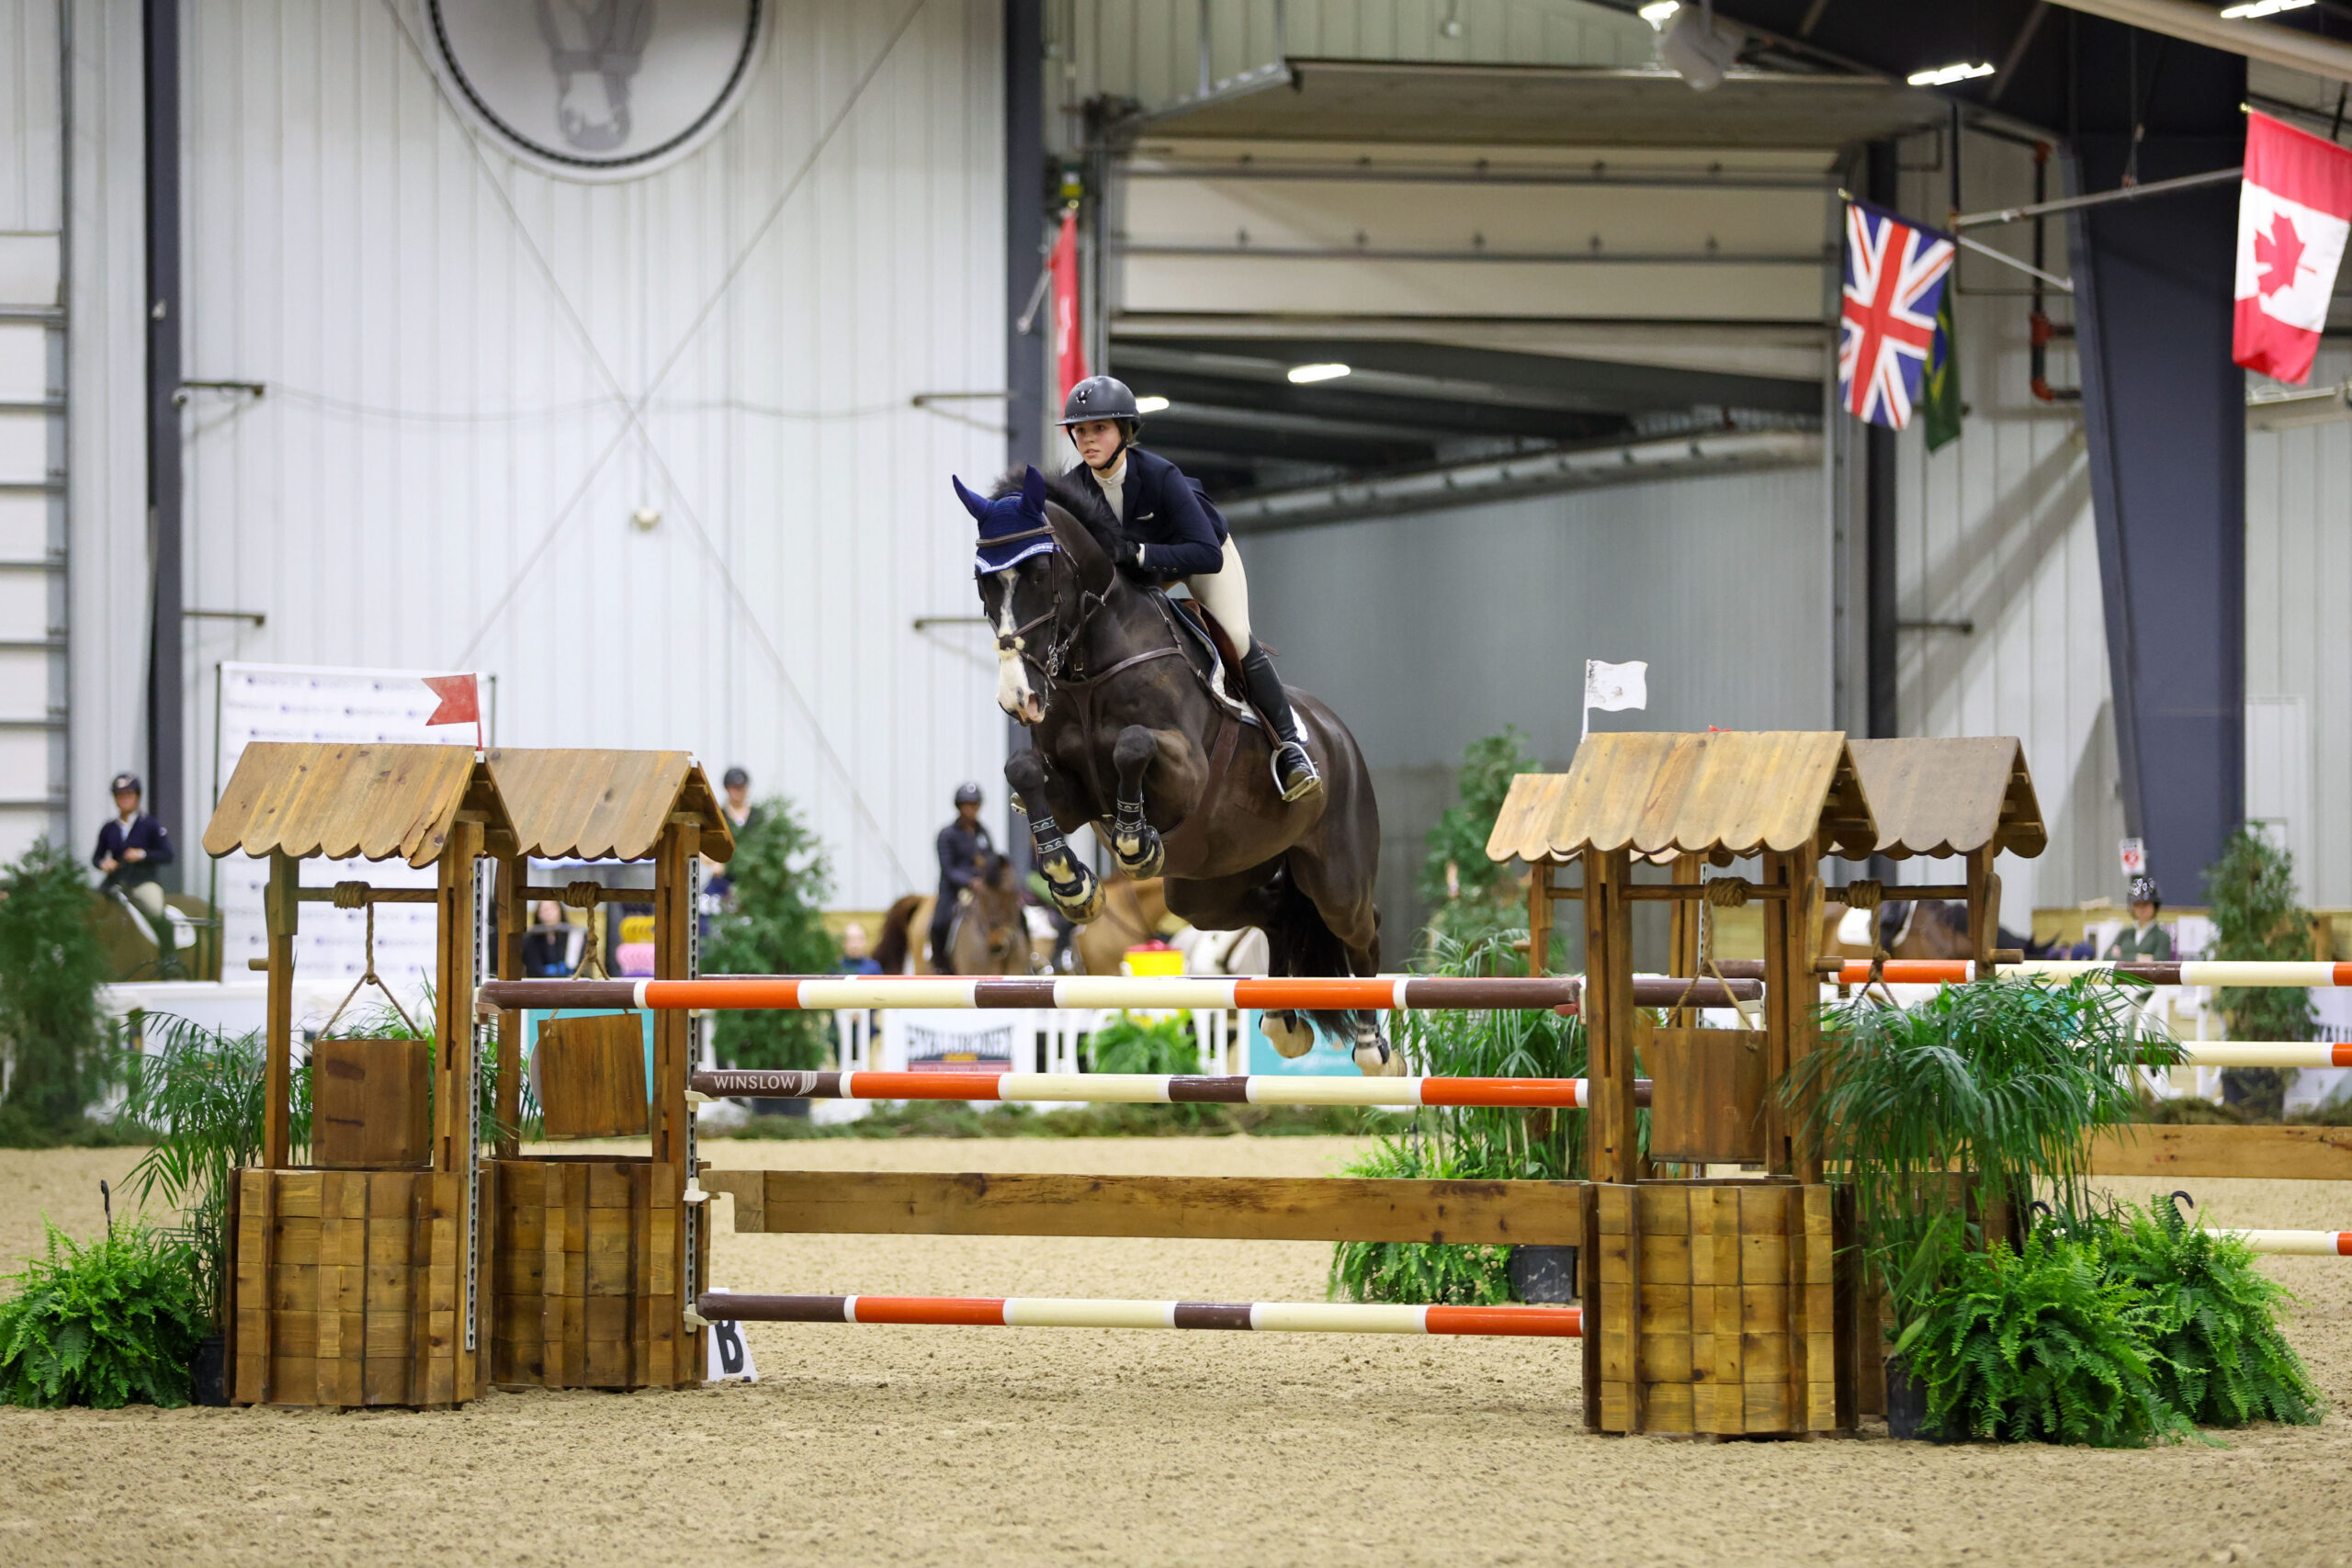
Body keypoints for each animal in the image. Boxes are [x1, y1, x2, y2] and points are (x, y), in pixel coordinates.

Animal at [956, 466, 1392, 1071]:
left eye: (1041, 572)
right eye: (984, 581)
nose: (1019, 698)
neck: (1089, 664)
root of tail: (1340, 735)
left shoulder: (1187, 775)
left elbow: (1131, 746)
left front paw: (1134, 843)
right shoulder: (1072, 793)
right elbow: (1023, 770)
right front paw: (1073, 883)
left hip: (1336, 876)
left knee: (1360, 926)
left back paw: (1374, 1046)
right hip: (1208, 886)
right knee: (1278, 911)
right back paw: (1283, 1021)